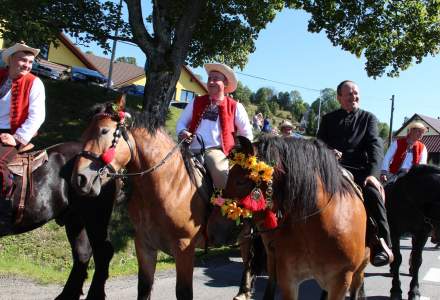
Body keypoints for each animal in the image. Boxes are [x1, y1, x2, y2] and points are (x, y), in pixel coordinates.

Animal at [71, 97, 209, 298]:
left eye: (104, 131)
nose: (79, 178)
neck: (169, 185)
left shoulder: (184, 248)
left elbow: (183, 292)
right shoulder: (144, 244)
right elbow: (144, 286)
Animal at [384, 164, 440, 300]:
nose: (436, 239)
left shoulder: (422, 233)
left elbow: (417, 260)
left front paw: (414, 291)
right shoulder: (394, 231)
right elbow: (397, 258)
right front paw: (396, 290)